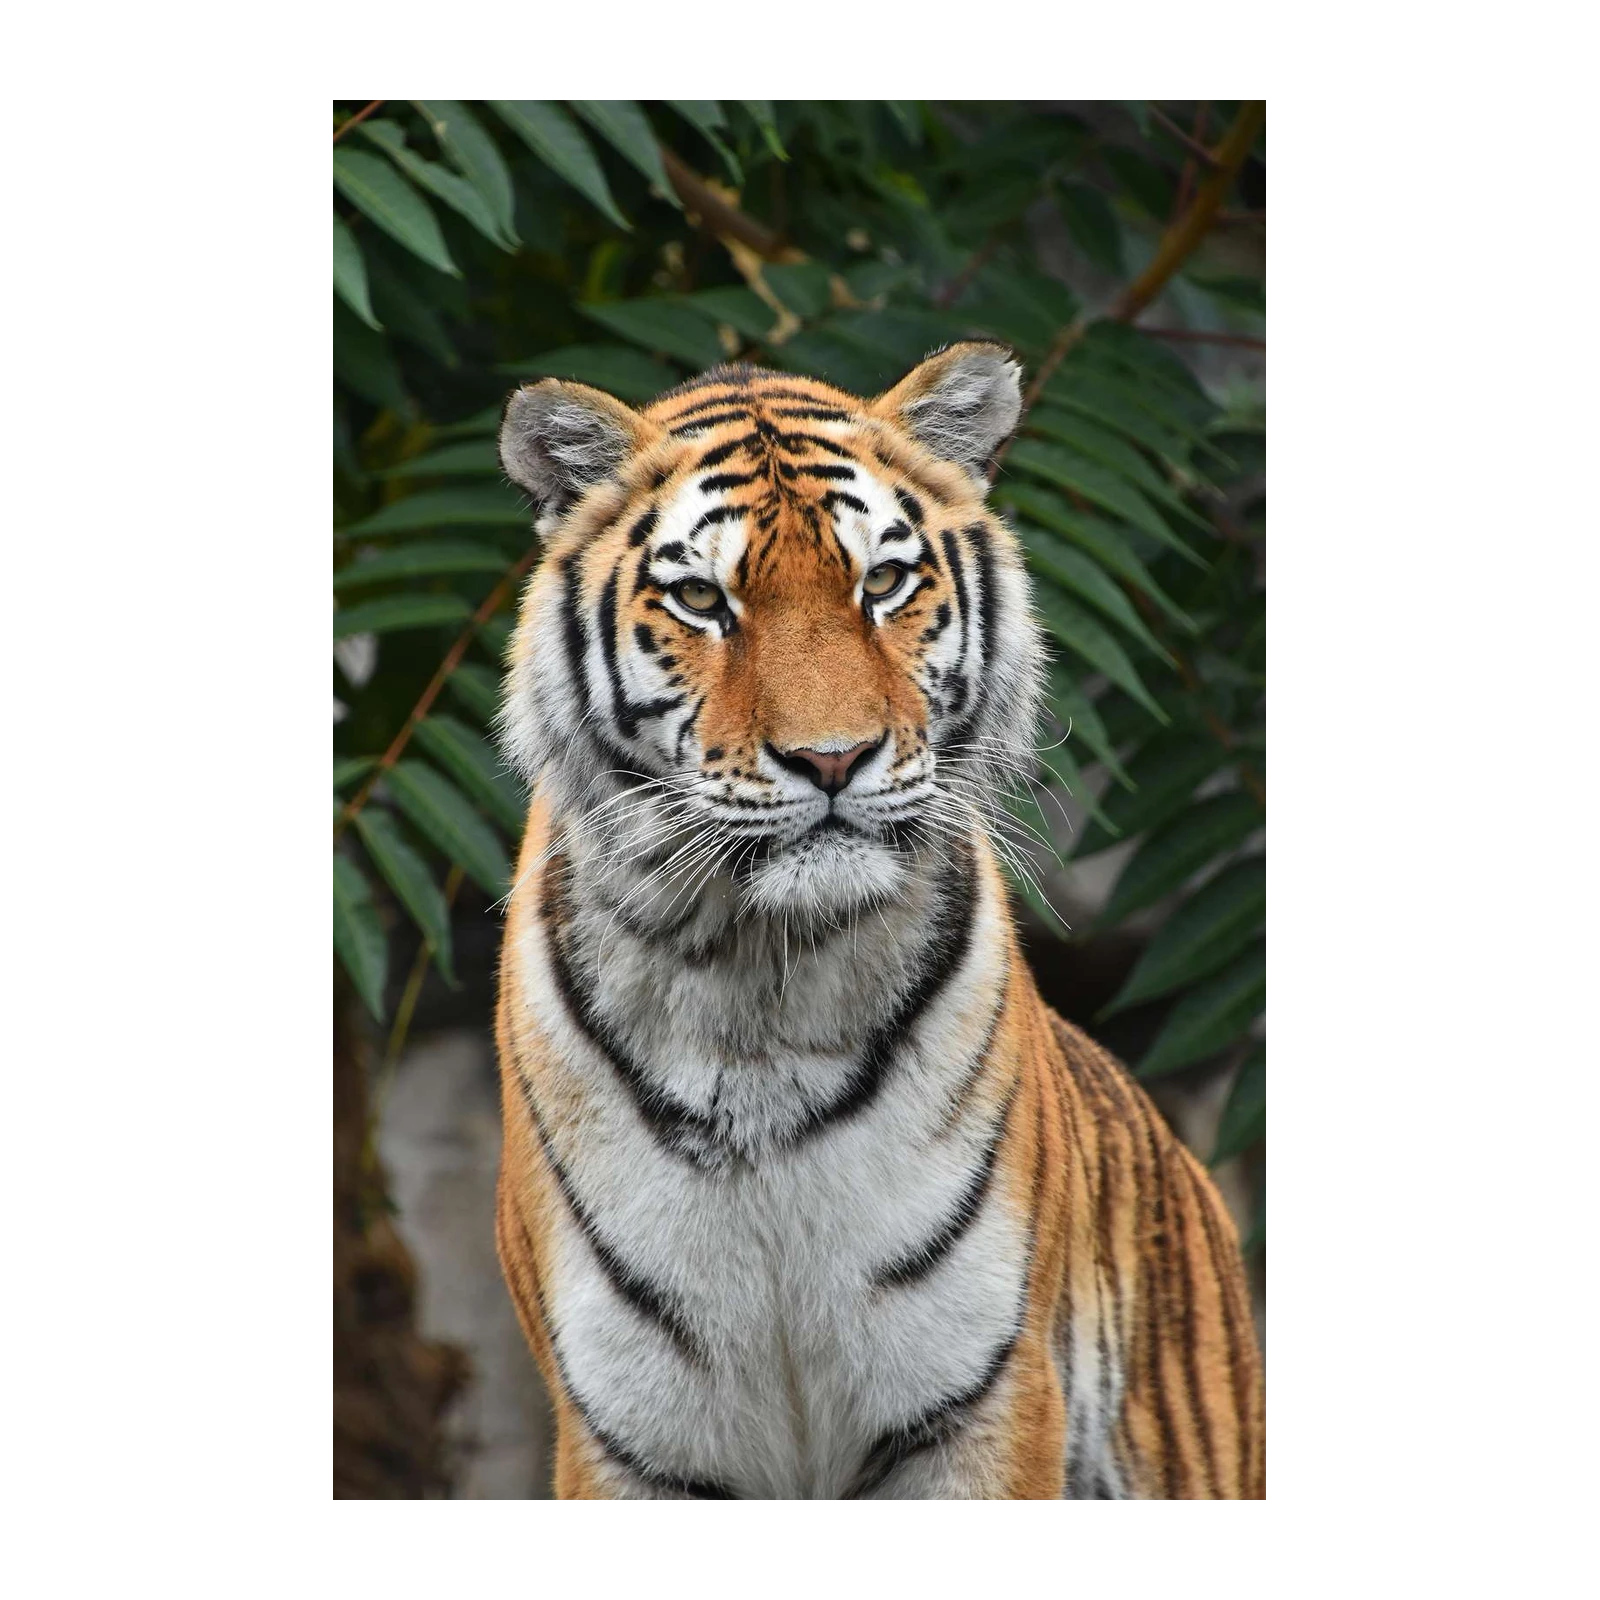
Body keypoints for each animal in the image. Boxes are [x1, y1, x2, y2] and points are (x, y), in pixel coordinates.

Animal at [491, 342, 1266, 1503]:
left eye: (884, 583)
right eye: (701, 598)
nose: (832, 758)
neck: (757, 983)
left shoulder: (981, 1398)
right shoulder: (629, 1432)